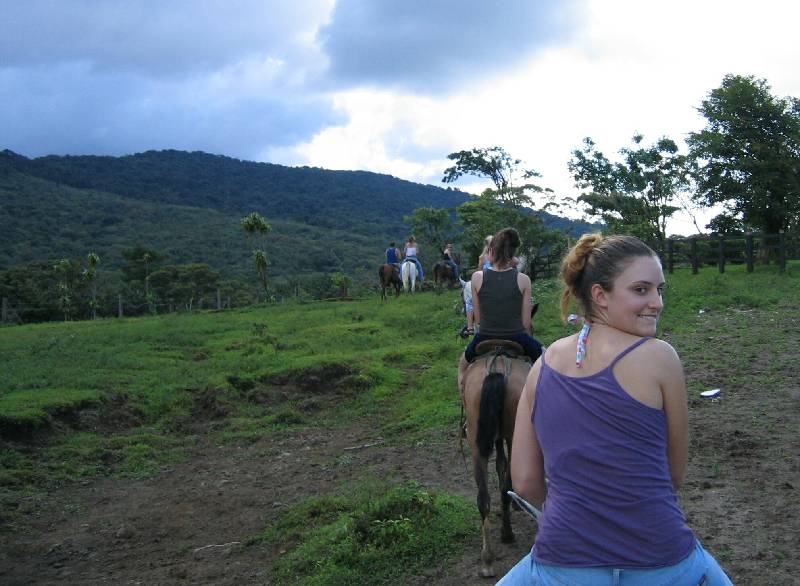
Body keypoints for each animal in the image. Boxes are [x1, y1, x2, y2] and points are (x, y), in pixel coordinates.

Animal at [462, 340, 532, 576]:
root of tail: (497, 368)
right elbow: (503, 469)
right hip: (513, 435)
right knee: (505, 483)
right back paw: (506, 534)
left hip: (476, 442)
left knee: (483, 497)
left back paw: (487, 560)